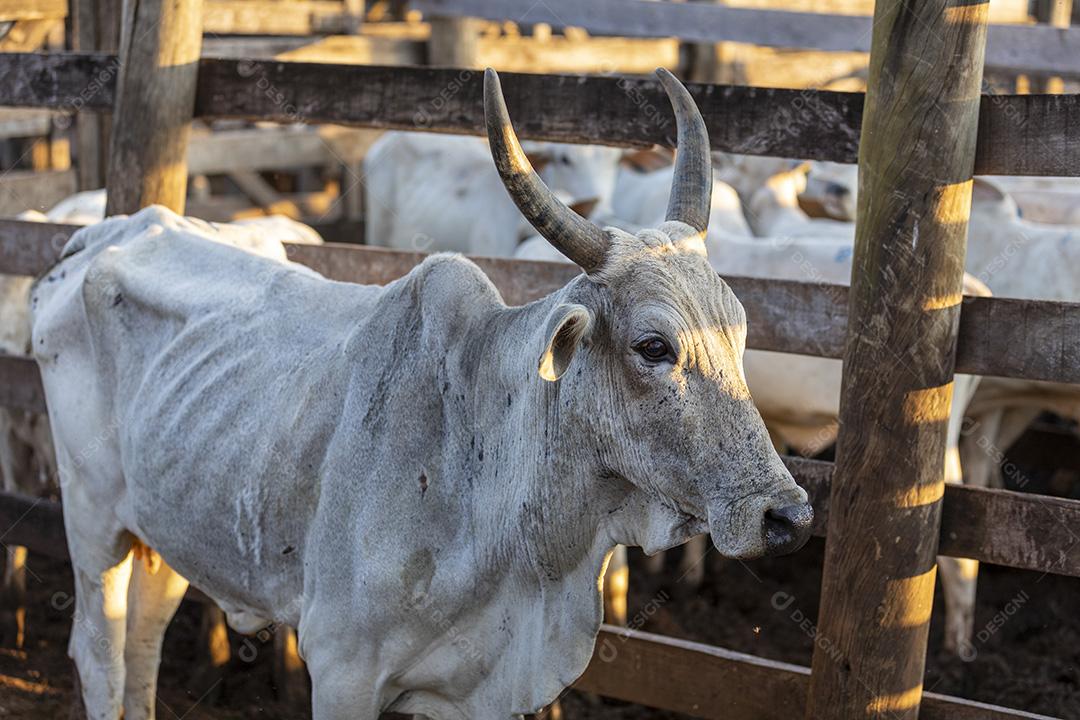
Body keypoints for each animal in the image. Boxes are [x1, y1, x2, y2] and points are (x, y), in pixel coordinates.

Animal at [32, 68, 812, 719]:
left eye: (739, 332)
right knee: (99, 654)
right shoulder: (341, 672)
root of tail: (109, 231)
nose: (788, 516)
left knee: (143, 641)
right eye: (654, 347)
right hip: (92, 518)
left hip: (166, 527)